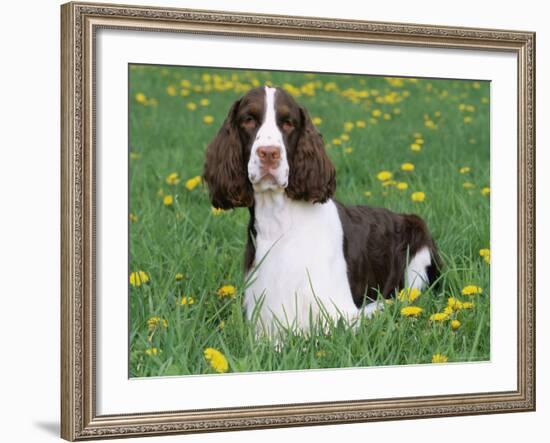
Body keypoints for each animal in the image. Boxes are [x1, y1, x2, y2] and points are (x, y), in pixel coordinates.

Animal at [205, 86, 442, 336]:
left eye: (288, 123)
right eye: (248, 119)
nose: (269, 153)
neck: (280, 222)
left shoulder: (339, 313)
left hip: (419, 248)